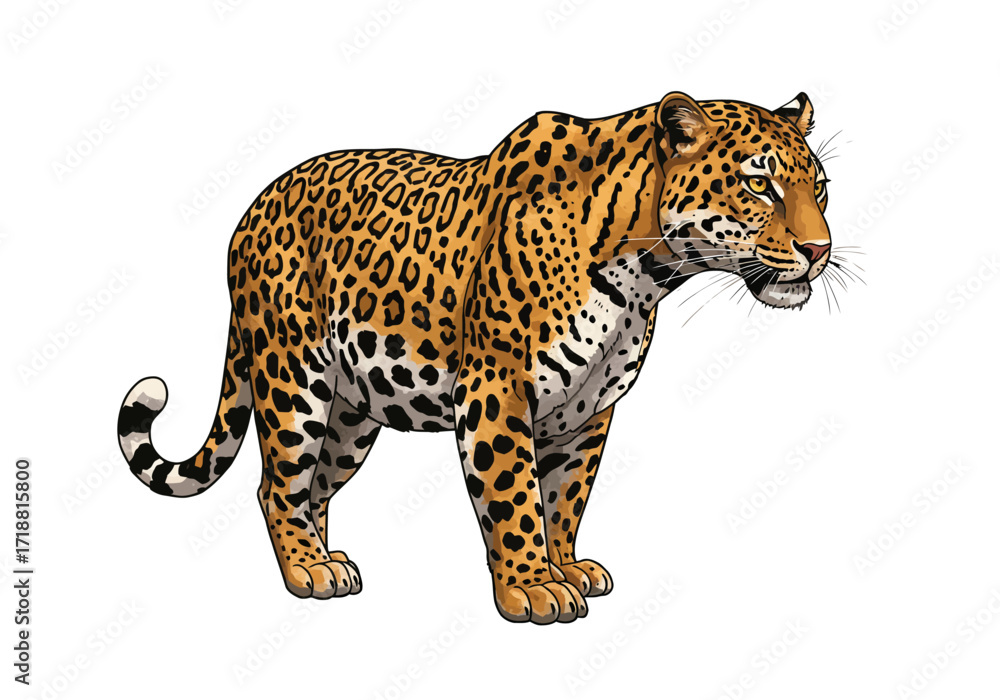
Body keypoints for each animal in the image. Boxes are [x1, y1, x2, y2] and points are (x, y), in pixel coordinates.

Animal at [117, 91, 833, 624]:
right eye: (760, 184)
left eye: (820, 188)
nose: (820, 249)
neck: (643, 271)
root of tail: (253, 208)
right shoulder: (496, 388)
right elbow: (515, 495)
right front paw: (533, 588)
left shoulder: (586, 408)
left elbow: (565, 496)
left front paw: (565, 566)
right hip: (293, 378)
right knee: (278, 486)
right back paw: (306, 571)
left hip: (351, 413)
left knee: (316, 485)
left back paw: (330, 561)